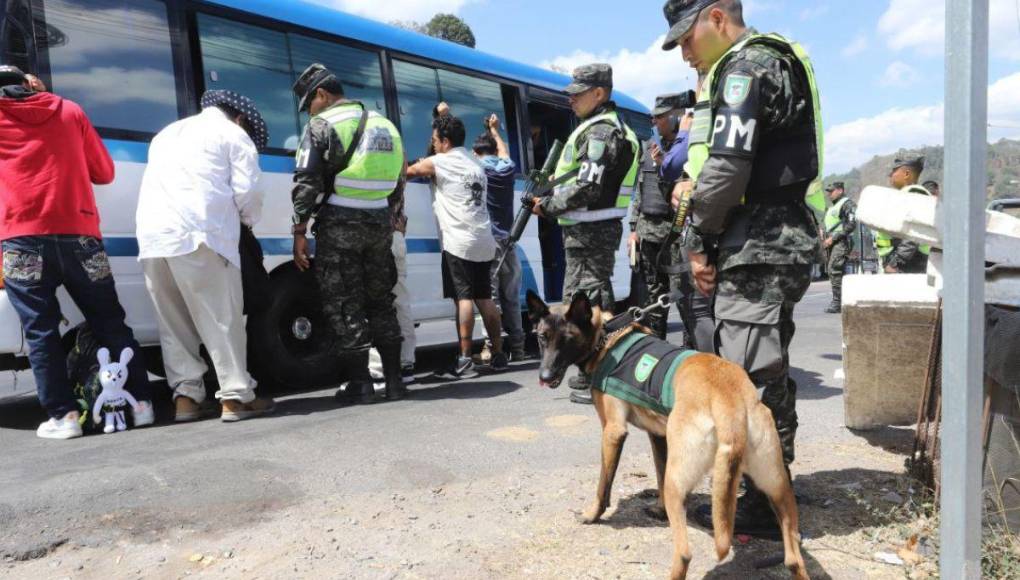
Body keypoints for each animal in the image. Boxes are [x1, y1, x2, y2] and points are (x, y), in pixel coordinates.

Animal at [530, 291, 807, 578]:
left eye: (568, 340)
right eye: (542, 338)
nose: (545, 376)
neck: (605, 337)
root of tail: (729, 402)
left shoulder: (612, 431)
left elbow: (603, 484)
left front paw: (592, 514)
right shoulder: (659, 436)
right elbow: (659, 472)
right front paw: (658, 510)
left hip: (680, 482)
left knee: (684, 553)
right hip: (777, 486)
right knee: (793, 558)